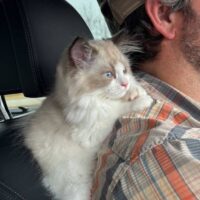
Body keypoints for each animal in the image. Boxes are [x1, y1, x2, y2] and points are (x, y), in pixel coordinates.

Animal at [23, 38, 153, 200]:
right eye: (108, 75)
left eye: (124, 71)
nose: (125, 84)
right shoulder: (90, 133)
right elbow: (115, 109)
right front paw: (143, 100)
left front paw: (135, 90)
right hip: (76, 184)